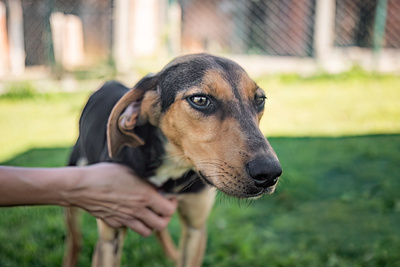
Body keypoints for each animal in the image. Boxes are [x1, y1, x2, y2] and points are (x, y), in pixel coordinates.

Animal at [62, 53, 282, 266]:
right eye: (200, 99)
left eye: (260, 100)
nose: (270, 174)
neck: (171, 168)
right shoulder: (110, 236)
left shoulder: (195, 227)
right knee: (75, 238)